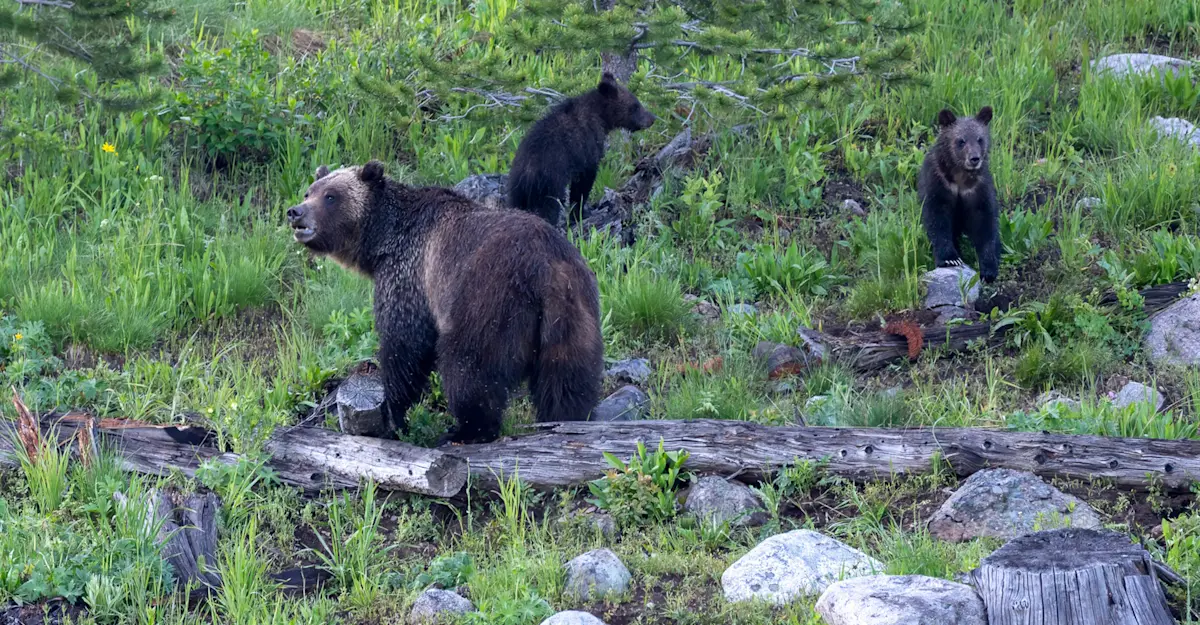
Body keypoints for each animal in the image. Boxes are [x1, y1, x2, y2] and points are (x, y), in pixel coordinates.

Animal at [286, 161, 604, 444]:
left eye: (331, 196)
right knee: (567, 381)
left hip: (488, 299)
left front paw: (394, 412)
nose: (295, 212)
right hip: (575, 311)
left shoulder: (409, 273)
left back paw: (465, 431)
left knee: (467, 366)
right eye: (309, 191)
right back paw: (563, 420)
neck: (382, 241)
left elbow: (405, 343)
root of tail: (546, 268)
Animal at [507, 71, 657, 227]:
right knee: (549, 207)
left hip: (516, 189)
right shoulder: (586, 149)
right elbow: (583, 182)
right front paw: (580, 213)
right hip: (548, 183)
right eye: (635, 106)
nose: (652, 118)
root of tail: (526, 173)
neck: (601, 118)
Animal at [917, 106, 1001, 283]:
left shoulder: (978, 189)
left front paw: (988, 268)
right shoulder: (939, 184)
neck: (960, 177)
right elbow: (937, 220)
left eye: (979, 139)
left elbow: (986, 223)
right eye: (961, 141)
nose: (974, 158)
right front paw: (950, 258)